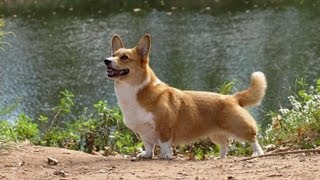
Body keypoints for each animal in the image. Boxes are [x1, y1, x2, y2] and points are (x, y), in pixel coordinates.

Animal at [104, 34, 266, 160]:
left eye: (125, 57)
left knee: (253, 139)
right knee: (225, 146)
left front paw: (166, 156)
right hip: (216, 135)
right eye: (113, 55)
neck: (132, 91)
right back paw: (220, 158)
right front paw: (146, 155)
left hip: (240, 128)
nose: (106, 60)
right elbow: (149, 145)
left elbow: (164, 144)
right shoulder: (144, 133)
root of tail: (232, 98)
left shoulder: (164, 128)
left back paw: (258, 154)